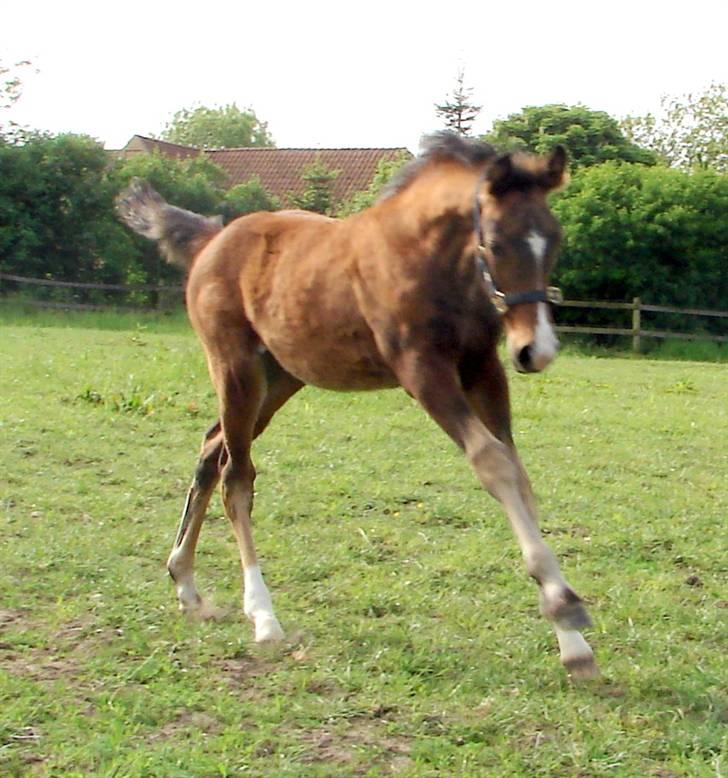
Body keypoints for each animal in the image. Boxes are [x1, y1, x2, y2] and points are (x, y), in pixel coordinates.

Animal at [116, 130, 596, 676]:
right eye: (494, 243)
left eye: (554, 240)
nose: (537, 350)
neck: (430, 260)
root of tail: (210, 239)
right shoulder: (422, 371)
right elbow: (492, 463)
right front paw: (564, 605)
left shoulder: (483, 370)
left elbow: (518, 474)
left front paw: (571, 641)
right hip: (235, 367)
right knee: (236, 476)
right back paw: (263, 617)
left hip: (280, 378)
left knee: (211, 448)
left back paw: (187, 585)